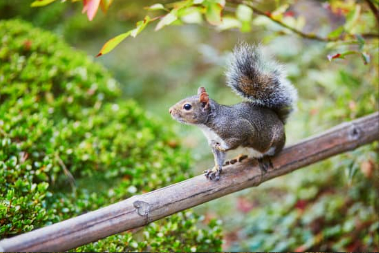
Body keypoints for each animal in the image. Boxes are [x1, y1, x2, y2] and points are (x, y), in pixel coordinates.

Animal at [169, 44, 296, 182]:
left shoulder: (239, 128)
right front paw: (215, 169)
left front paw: (222, 147)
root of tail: (278, 118)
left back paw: (264, 157)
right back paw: (239, 157)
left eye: (187, 106)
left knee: (271, 152)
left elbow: (233, 142)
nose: (170, 111)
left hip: (275, 142)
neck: (209, 124)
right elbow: (218, 158)